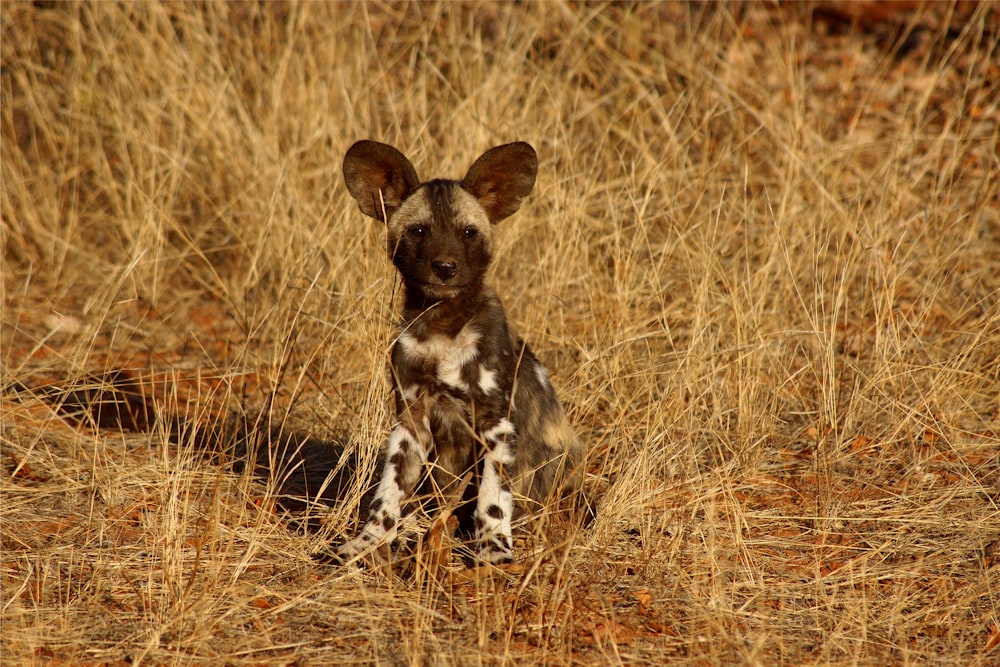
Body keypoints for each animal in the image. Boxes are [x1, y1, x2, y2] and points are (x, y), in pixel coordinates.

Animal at [338, 140, 584, 564]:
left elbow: (492, 498)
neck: (443, 329)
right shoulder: (410, 422)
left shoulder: (495, 422)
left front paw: (492, 549)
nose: (445, 267)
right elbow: (387, 495)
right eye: (418, 231)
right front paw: (368, 542)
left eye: (468, 232)